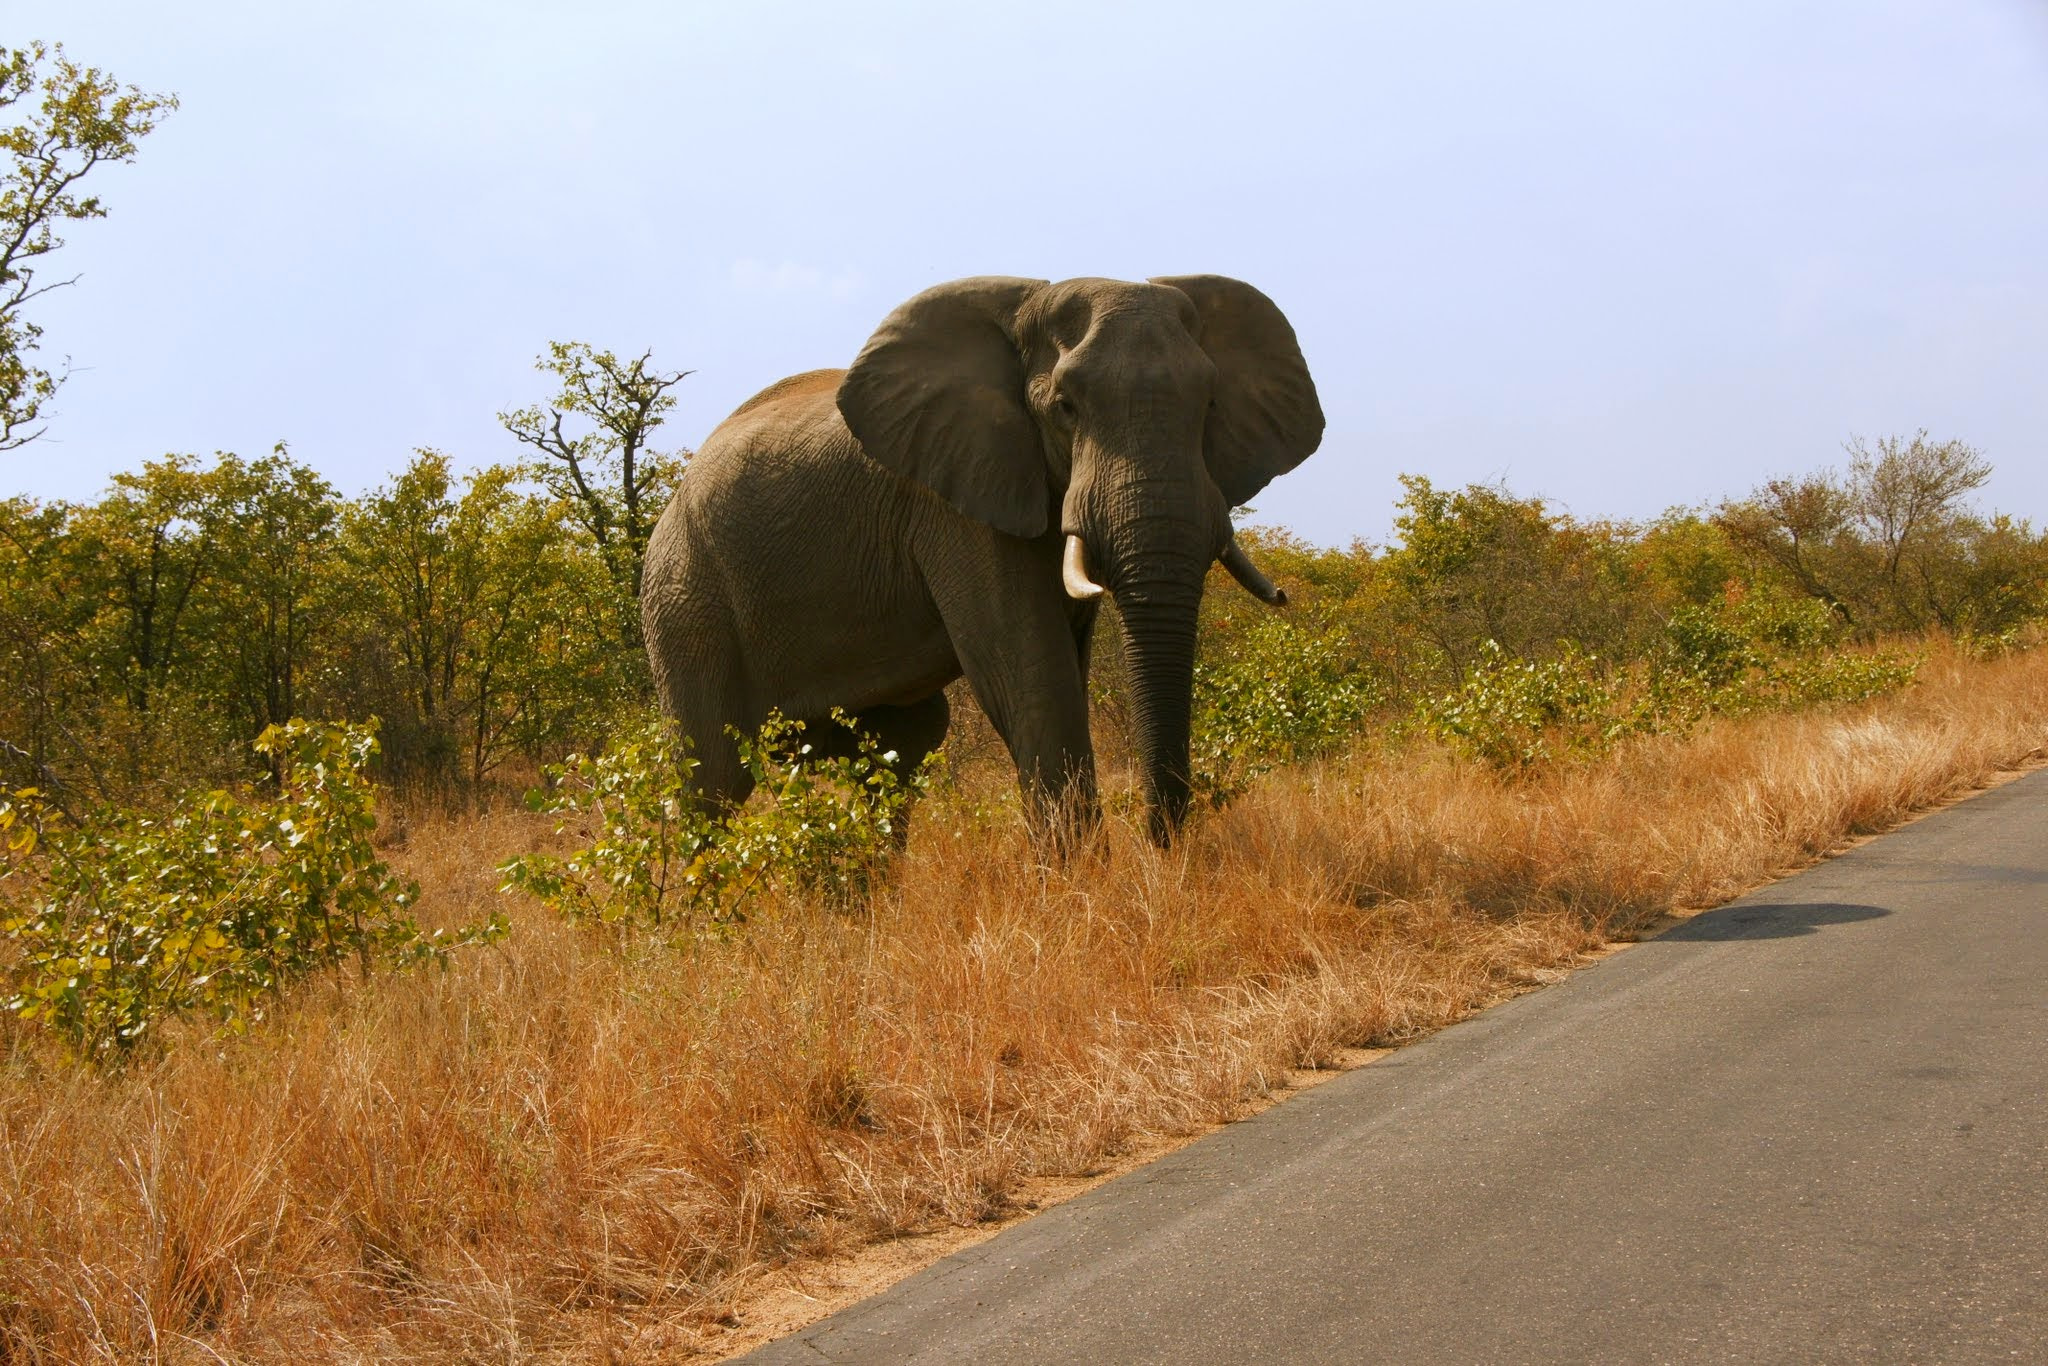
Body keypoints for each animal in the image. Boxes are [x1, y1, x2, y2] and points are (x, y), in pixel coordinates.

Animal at [647, 276, 1335, 843]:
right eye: (1065, 408)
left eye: (1211, 406)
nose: (1160, 845)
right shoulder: (954, 502)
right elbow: (1034, 674)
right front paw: (1080, 893)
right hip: (684, 594)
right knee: (713, 776)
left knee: (901, 749)